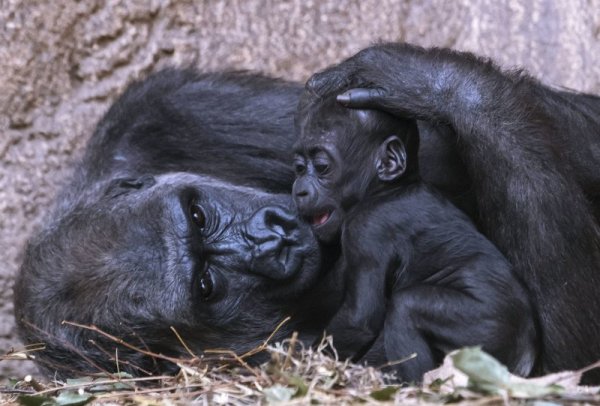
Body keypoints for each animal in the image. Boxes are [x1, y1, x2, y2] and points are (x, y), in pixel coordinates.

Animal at [292, 93, 536, 380]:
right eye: (299, 168)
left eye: (322, 167)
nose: (300, 190)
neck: (390, 188)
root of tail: (526, 357)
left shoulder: (365, 228)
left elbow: (359, 318)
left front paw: (308, 365)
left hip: (489, 329)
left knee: (406, 307)